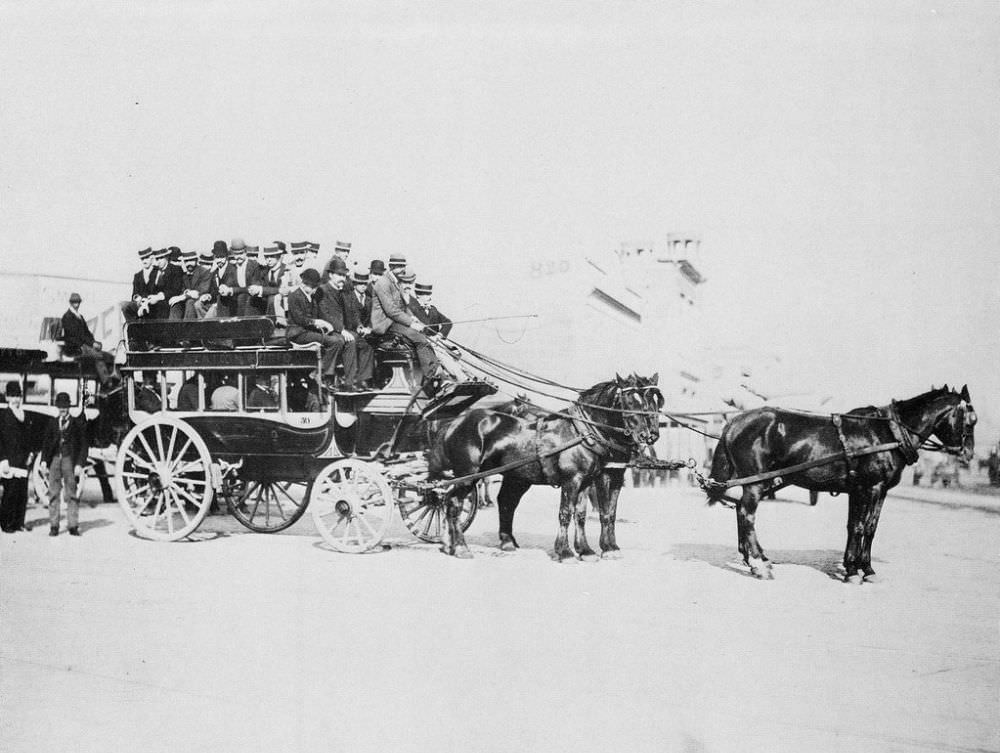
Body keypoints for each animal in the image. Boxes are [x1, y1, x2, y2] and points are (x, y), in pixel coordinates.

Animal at [430, 374, 664, 560]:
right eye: (628, 401)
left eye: (651, 402)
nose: (647, 435)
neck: (582, 432)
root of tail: (454, 422)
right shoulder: (574, 480)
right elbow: (567, 513)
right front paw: (566, 552)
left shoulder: (587, 481)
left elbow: (582, 514)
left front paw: (586, 550)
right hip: (468, 475)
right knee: (454, 504)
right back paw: (460, 547)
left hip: (511, 477)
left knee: (493, 502)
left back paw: (460, 544)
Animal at [704, 384, 976, 580]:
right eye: (970, 419)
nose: (968, 454)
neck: (887, 434)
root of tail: (734, 422)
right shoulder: (872, 488)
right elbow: (864, 527)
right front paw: (860, 570)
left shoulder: (863, 490)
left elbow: (858, 526)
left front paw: (854, 566)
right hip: (756, 482)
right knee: (746, 514)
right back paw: (758, 564)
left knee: (739, 509)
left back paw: (754, 558)